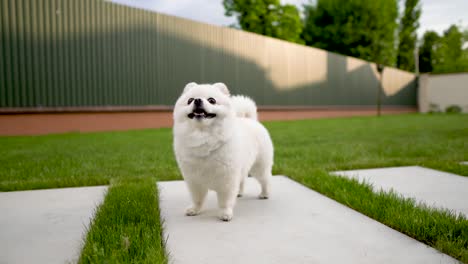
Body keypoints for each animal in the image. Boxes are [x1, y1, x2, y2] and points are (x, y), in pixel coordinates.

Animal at [172, 82, 274, 221]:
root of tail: (251, 120)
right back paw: (239, 193)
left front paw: (225, 213)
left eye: (212, 100)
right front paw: (195, 209)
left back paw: (265, 194)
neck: (203, 136)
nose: (197, 100)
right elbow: (197, 198)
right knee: (242, 179)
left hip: (259, 166)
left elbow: (225, 200)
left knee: (265, 180)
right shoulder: (194, 179)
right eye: (190, 100)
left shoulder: (227, 178)